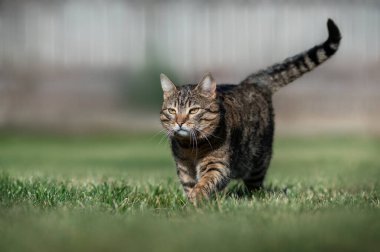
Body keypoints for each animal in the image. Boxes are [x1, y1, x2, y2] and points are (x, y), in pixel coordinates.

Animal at [159, 18, 342, 204]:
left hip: (258, 160)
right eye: (172, 110)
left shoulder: (218, 165)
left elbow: (205, 182)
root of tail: (251, 82)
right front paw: (190, 201)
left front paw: (197, 198)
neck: (190, 147)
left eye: (194, 110)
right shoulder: (184, 169)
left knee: (255, 184)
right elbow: (189, 186)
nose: (179, 122)